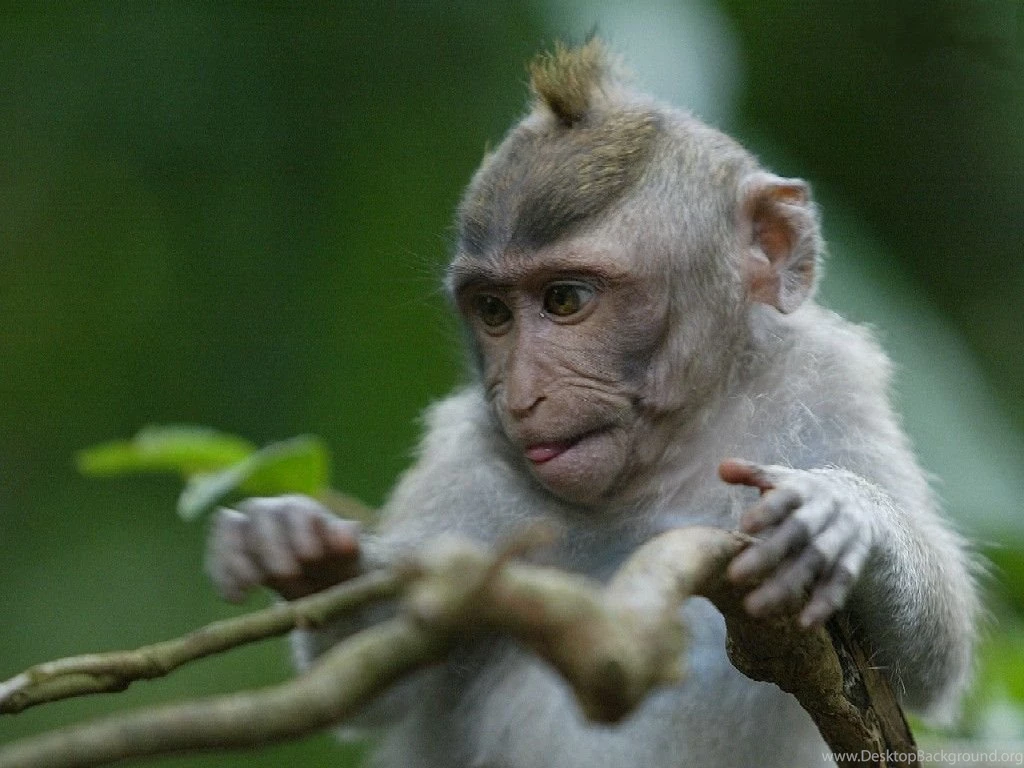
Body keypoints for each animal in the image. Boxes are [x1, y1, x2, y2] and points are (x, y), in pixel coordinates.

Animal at [206, 40, 979, 768]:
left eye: (564, 300)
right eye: (493, 313)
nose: (522, 396)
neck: (670, 462)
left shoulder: (831, 383)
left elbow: (934, 660)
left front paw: (846, 516)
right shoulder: (468, 460)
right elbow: (389, 669)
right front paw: (303, 556)